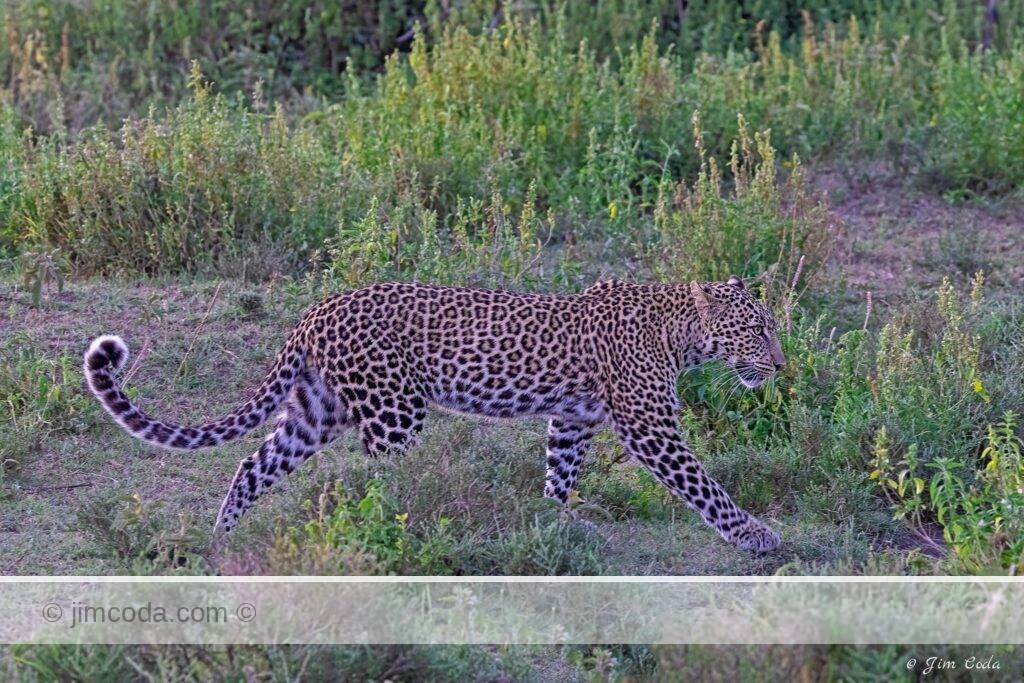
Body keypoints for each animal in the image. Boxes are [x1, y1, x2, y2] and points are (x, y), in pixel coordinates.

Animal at [84, 276, 786, 552]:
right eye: (758, 330)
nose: (781, 366)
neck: (680, 331)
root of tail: (316, 310)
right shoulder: (649, 425)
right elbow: (703, 484)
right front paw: (754, 535)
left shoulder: (572, 419)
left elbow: (559, 474)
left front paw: (555, 527)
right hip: (394, 411)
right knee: (380, 482)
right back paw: (403, 533)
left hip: (317, 411)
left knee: (253, 463)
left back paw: (221, 539)